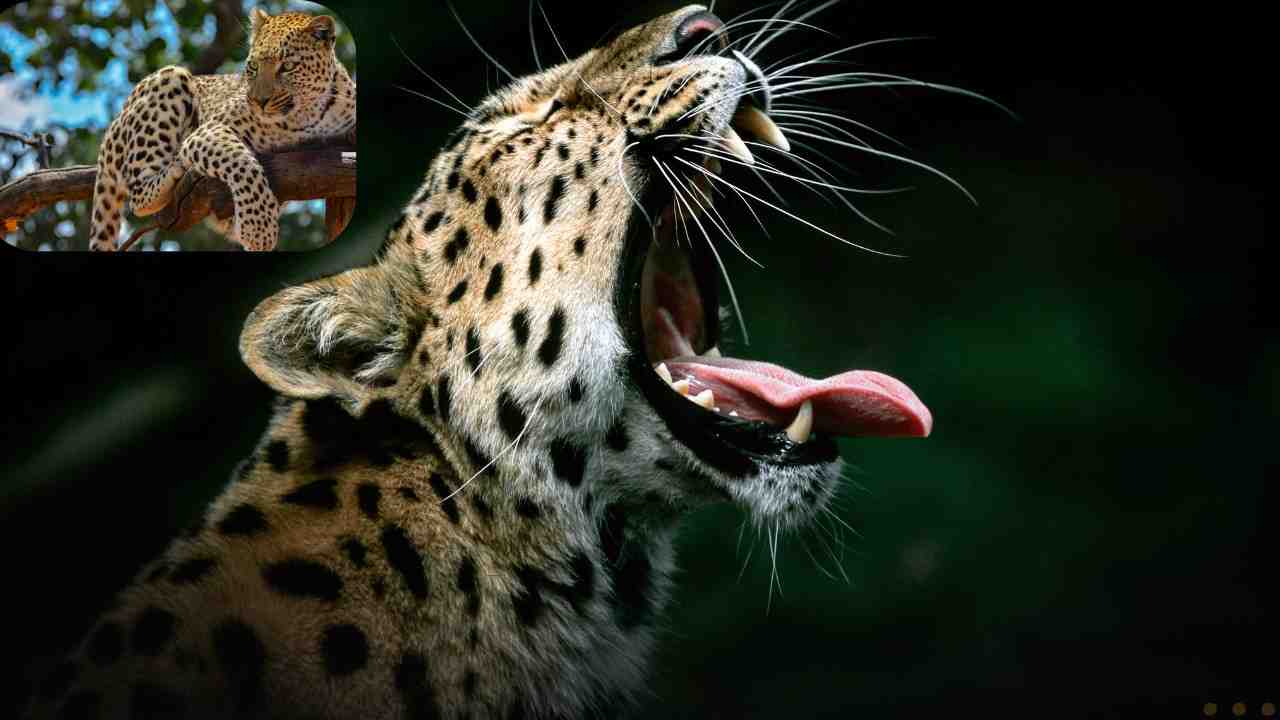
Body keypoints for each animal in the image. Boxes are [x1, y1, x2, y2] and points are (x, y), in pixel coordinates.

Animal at [86, 9, 356, 252]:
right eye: (253, 66)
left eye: (288, 66)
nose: (259, 101)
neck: (305, 116)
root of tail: (112, 129)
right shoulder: (208, 130)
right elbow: (241, 163)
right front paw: (258, 229)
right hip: (170, 78)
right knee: (138, 194)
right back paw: (175, 169)